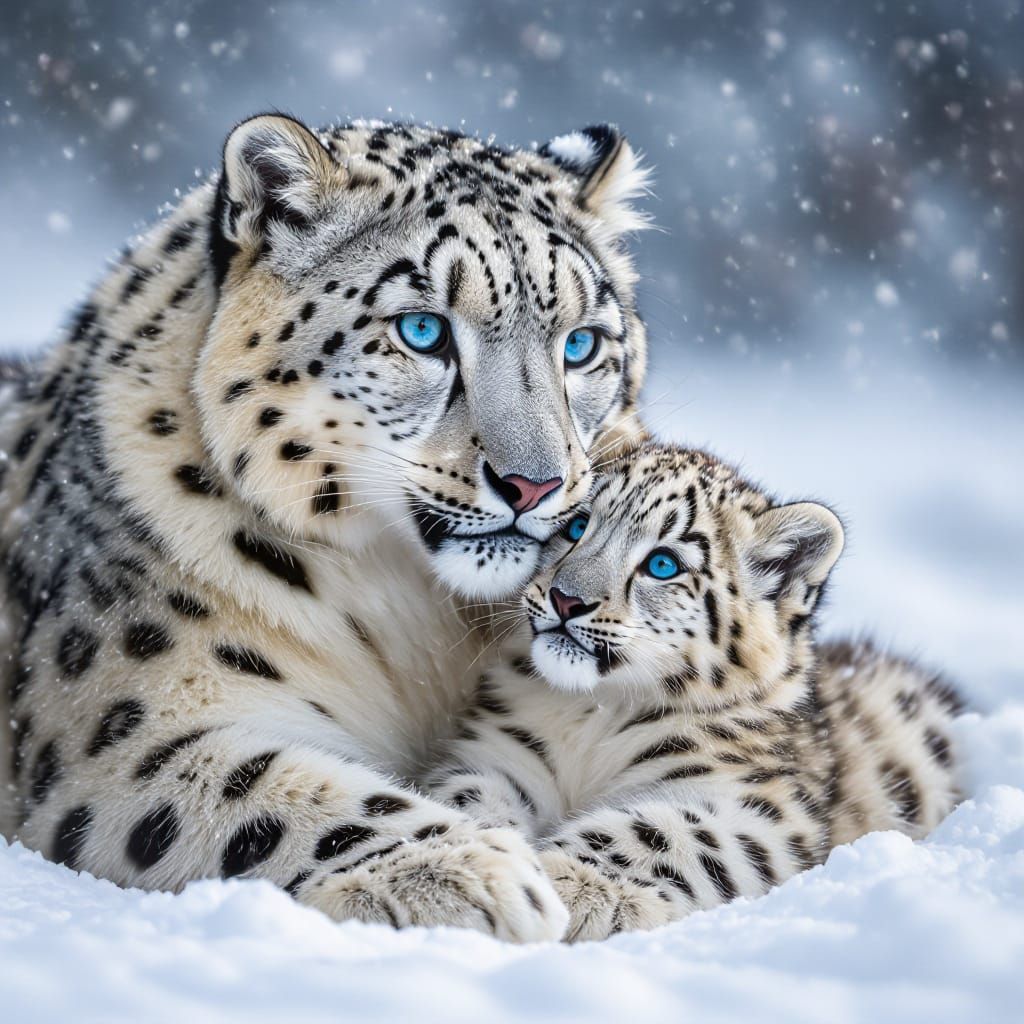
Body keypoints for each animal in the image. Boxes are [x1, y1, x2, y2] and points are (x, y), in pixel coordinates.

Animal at [0, 113, 654, 942]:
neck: (426, 623)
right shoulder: (121, 728)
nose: (534, 483)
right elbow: (260, 791)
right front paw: (477, 875)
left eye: (581, 344)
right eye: (423, 330)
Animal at [426, 442, 965, 941]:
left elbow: (659, 833)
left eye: (663, 564)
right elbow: (466, 800)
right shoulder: (499, 756)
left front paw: (573, 885)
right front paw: (490, 861)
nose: (566, 598)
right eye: (577, 526)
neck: (592, 714)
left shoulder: (759, 804)